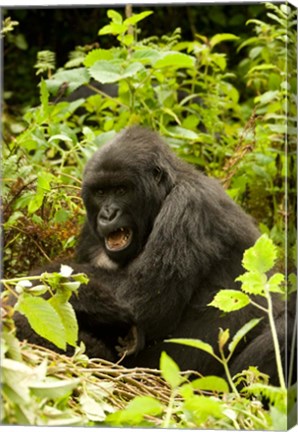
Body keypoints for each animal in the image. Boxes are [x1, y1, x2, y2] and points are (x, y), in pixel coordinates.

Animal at [15, 125, 292, 384]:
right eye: (101, 192)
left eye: (122, 190)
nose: (108, 215)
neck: (167, 191)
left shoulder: (188, 206)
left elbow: (135, 299)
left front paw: (26, 289)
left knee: (284, 331)